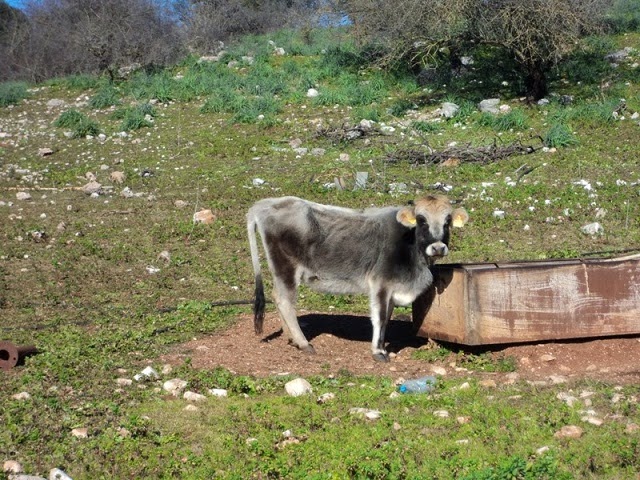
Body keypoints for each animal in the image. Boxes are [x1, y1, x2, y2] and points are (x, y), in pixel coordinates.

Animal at [248, 193, 468, 362]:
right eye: (422, 220)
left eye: (447, 222)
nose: (438, 247)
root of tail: (266, 204)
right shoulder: (381, 283)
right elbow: (380, 317)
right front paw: (378, 352)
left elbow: (387, 318)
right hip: (286, 267)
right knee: (284, 301)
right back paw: (303, 343)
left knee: (277, 296)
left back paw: (291, 338)